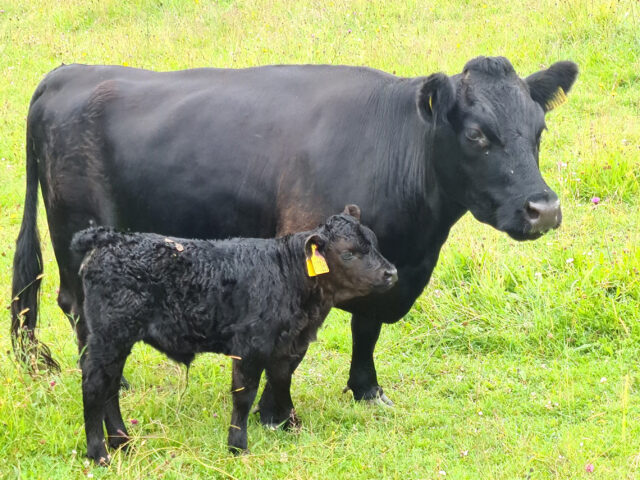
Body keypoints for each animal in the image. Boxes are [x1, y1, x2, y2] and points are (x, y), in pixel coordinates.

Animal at [11, 56, 578, 405]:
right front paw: (276, 412)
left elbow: (366, 329)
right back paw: (115, 380)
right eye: (478, 135)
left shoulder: (383, 264)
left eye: (539, 130)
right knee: (78, 306)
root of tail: (65, 74)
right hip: (78, 232)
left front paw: (366, 390)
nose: (545, 209)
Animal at [71, 206, 397, 463]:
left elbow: (282, 383)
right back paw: (99, 453)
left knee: (111, 387)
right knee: (94, 386)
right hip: (109, 336)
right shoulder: (250, 347)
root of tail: (111, 237)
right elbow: (244, 394)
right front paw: (238, 446)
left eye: (375, 243)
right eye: (348, 253)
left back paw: (122, 442)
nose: (391, 273)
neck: (289, 276)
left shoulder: (286, 345)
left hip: (117, 340)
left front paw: (291, 426)